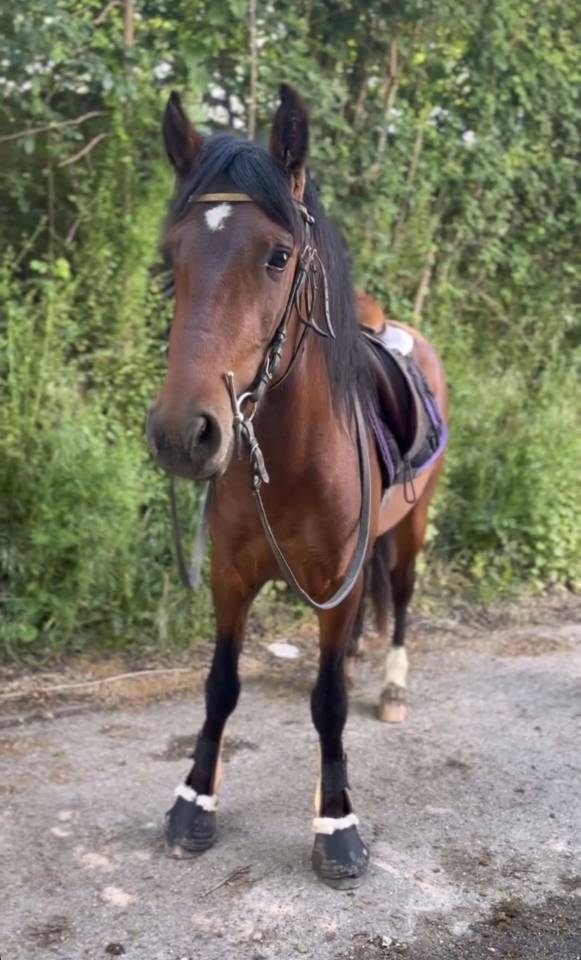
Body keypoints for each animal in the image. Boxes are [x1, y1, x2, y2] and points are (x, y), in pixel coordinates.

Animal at [146, 84, 447, 889]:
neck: (286, 457)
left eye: (278, 256)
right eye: (169, 260)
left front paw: (336, 822)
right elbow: (221, 685)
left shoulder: (336, 586)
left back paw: (394, 685)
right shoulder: (230, 576)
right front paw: (194, 800)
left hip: (411, 530)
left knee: (401, 600)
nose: (183, 433)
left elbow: (329, 701)